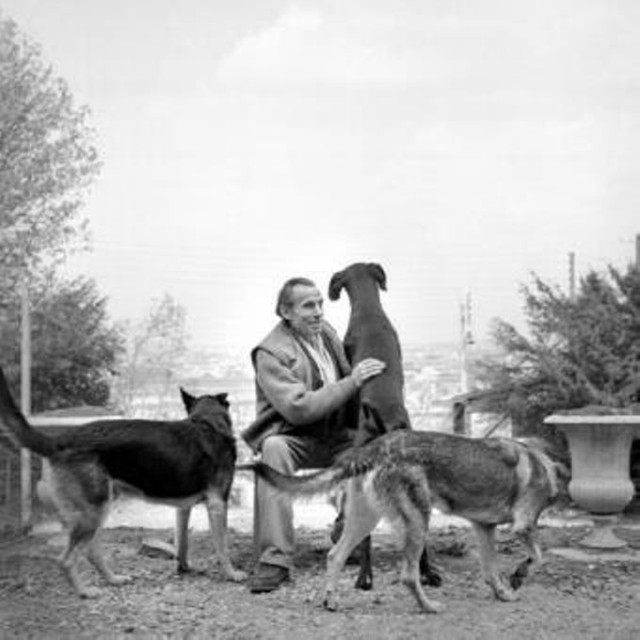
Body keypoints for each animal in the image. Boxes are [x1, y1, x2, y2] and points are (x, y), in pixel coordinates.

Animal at [0, 364, 248, 600]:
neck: (207, 422)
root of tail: (58, 442)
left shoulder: (182, 508)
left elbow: (182, 543)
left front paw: (184, 568)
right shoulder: (218, 504)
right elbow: (222, 546)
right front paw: (231, 573)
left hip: (96, 512)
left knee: (91, 553)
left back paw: (113, 579)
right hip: (92, 513)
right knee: (66, 560)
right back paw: (85, 592)